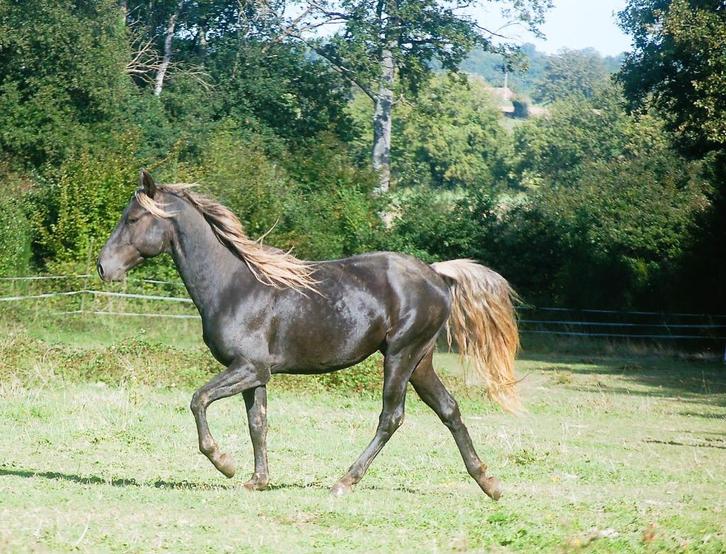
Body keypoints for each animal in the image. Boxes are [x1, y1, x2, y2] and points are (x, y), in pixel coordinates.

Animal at [97, 169, 520, 500]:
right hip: (421, 360)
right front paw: (257, 480)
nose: (103, 267)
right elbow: (258, 423)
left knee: (391, 417)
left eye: (134, 218)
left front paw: (225, 463)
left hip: (401, 356)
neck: (234, 286)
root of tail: (436, 274)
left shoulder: (250, 368)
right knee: (449, 409)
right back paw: (490, 483)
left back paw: (344, 482)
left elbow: (198, 400)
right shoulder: (255, 374)